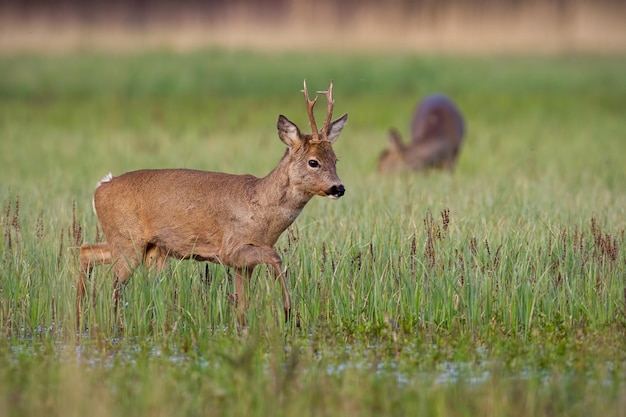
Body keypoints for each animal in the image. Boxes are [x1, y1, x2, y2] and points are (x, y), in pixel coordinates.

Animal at [78, 79, 346, 324]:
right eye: (313, 162)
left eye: (335, 159)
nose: (338, 188)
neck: (261, 207)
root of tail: (101, 187)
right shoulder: (231, 248)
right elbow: (276, 257)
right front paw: (289, 312)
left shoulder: (242, 264)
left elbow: (243, 303)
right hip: (128, 241)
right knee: (111, 283)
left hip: (148, 249)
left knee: (86, 251)